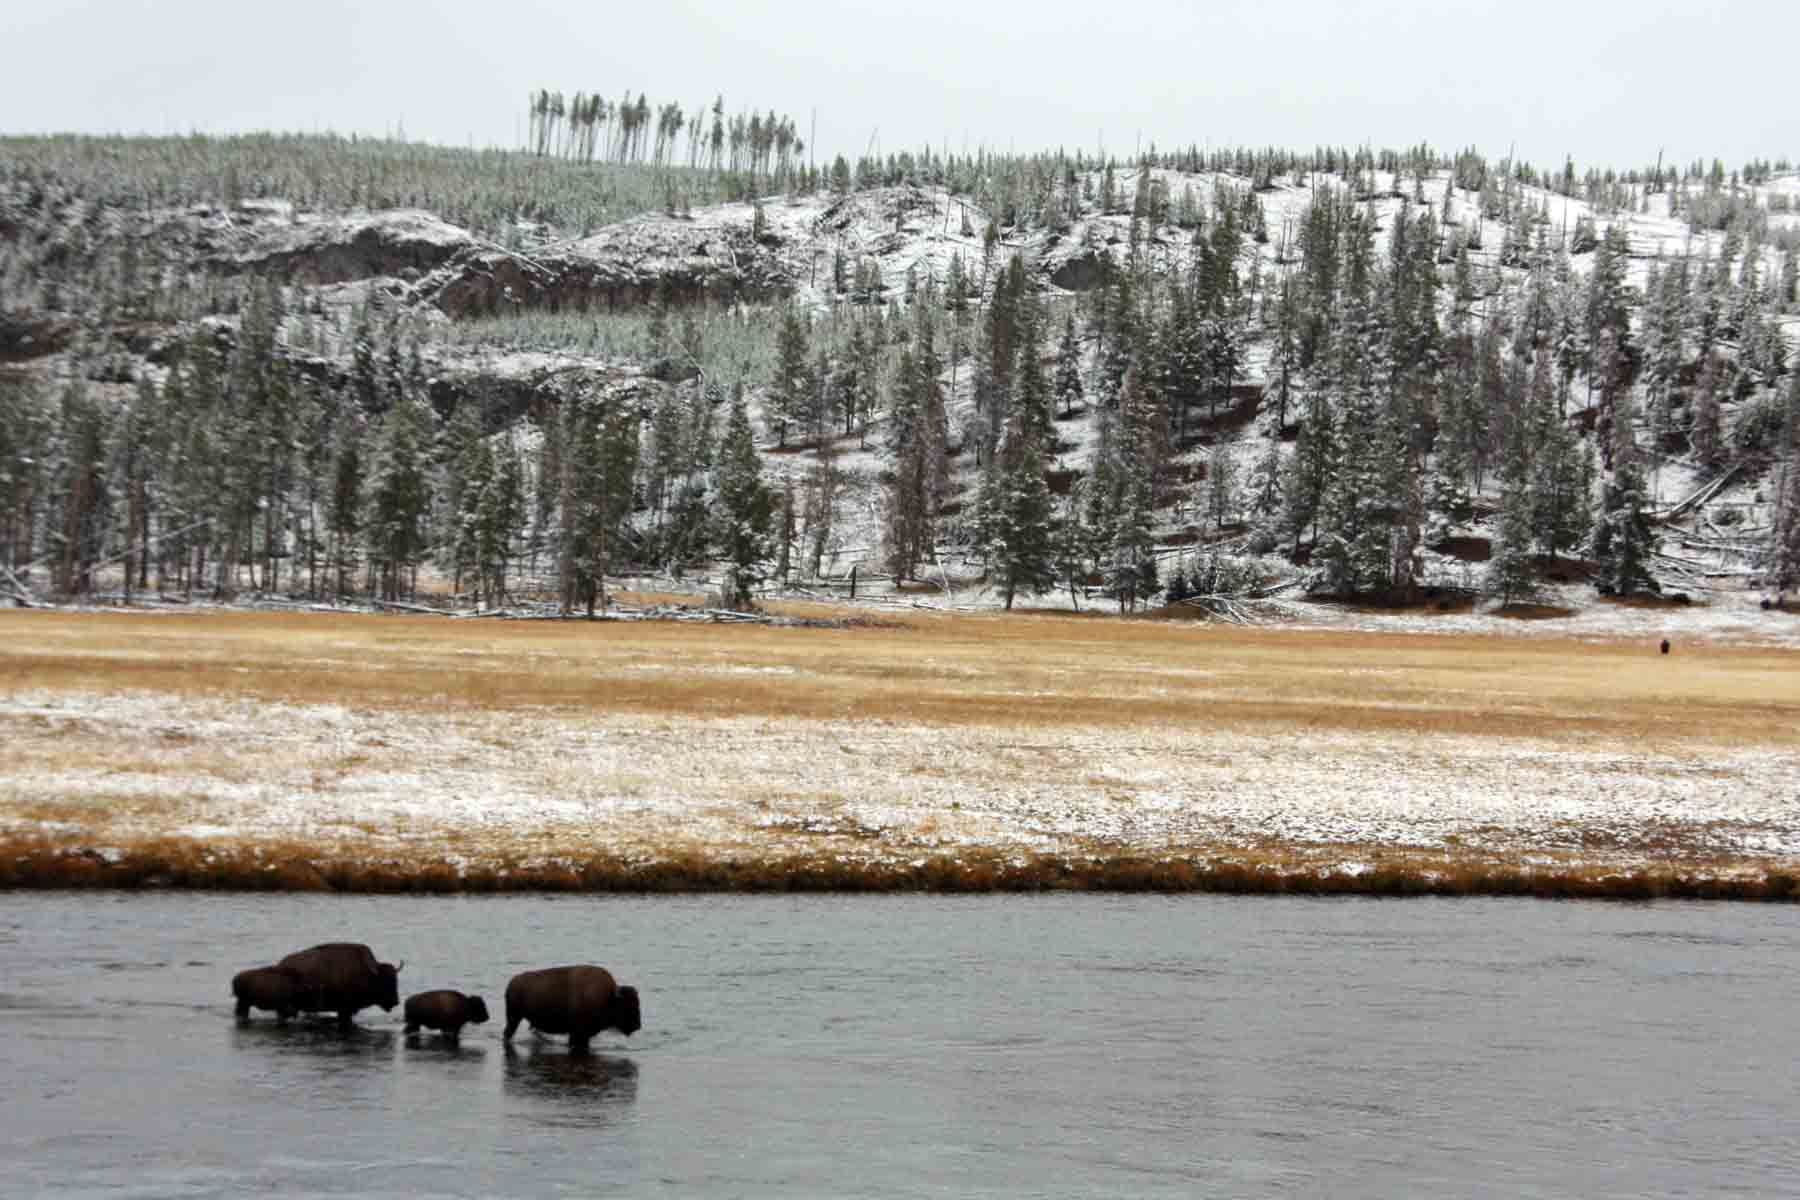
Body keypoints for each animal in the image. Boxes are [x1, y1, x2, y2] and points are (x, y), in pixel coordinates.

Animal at [504, 964, 644, 1050]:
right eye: (627, 1005)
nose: (637, 1026)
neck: (608, 998)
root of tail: (512, 983)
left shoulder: (583, 1036)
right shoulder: (578, 1034)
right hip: (514, 1018)